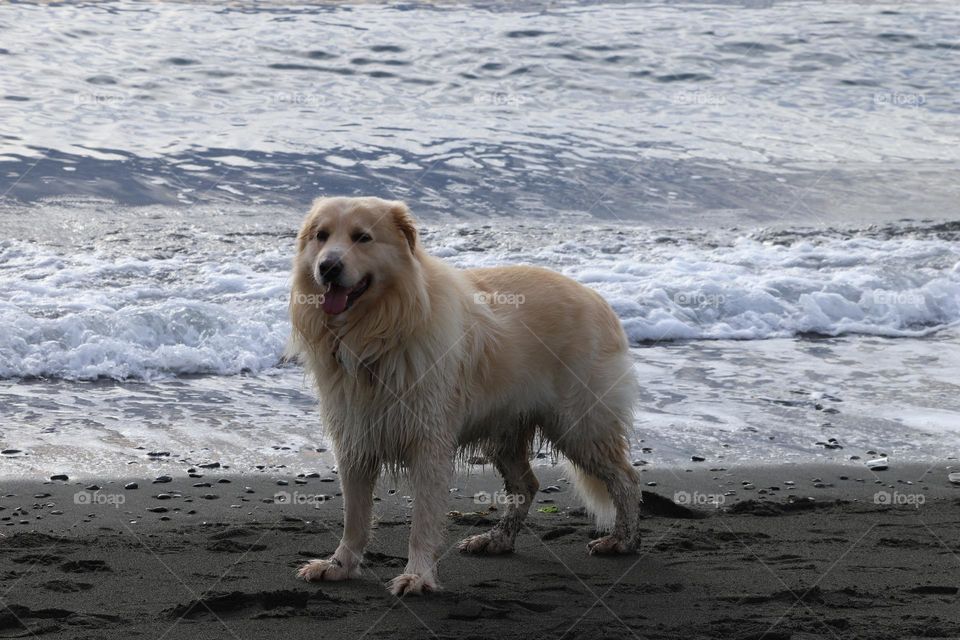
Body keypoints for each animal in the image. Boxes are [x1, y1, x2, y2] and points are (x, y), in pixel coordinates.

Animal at [288, 195, 640, 596]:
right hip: (506, 430)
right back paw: (497, 540)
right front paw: (340, 565)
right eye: (321, 236)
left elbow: (422, 522)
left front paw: (418, 575)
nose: (328, 267)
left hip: (580, 425)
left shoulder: (428, 444)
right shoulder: (355, 440)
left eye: (362, 237)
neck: (379, 332)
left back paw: (623, 541)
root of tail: (598, 299)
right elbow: (355, 519)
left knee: (626, 479)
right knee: (527, 484)